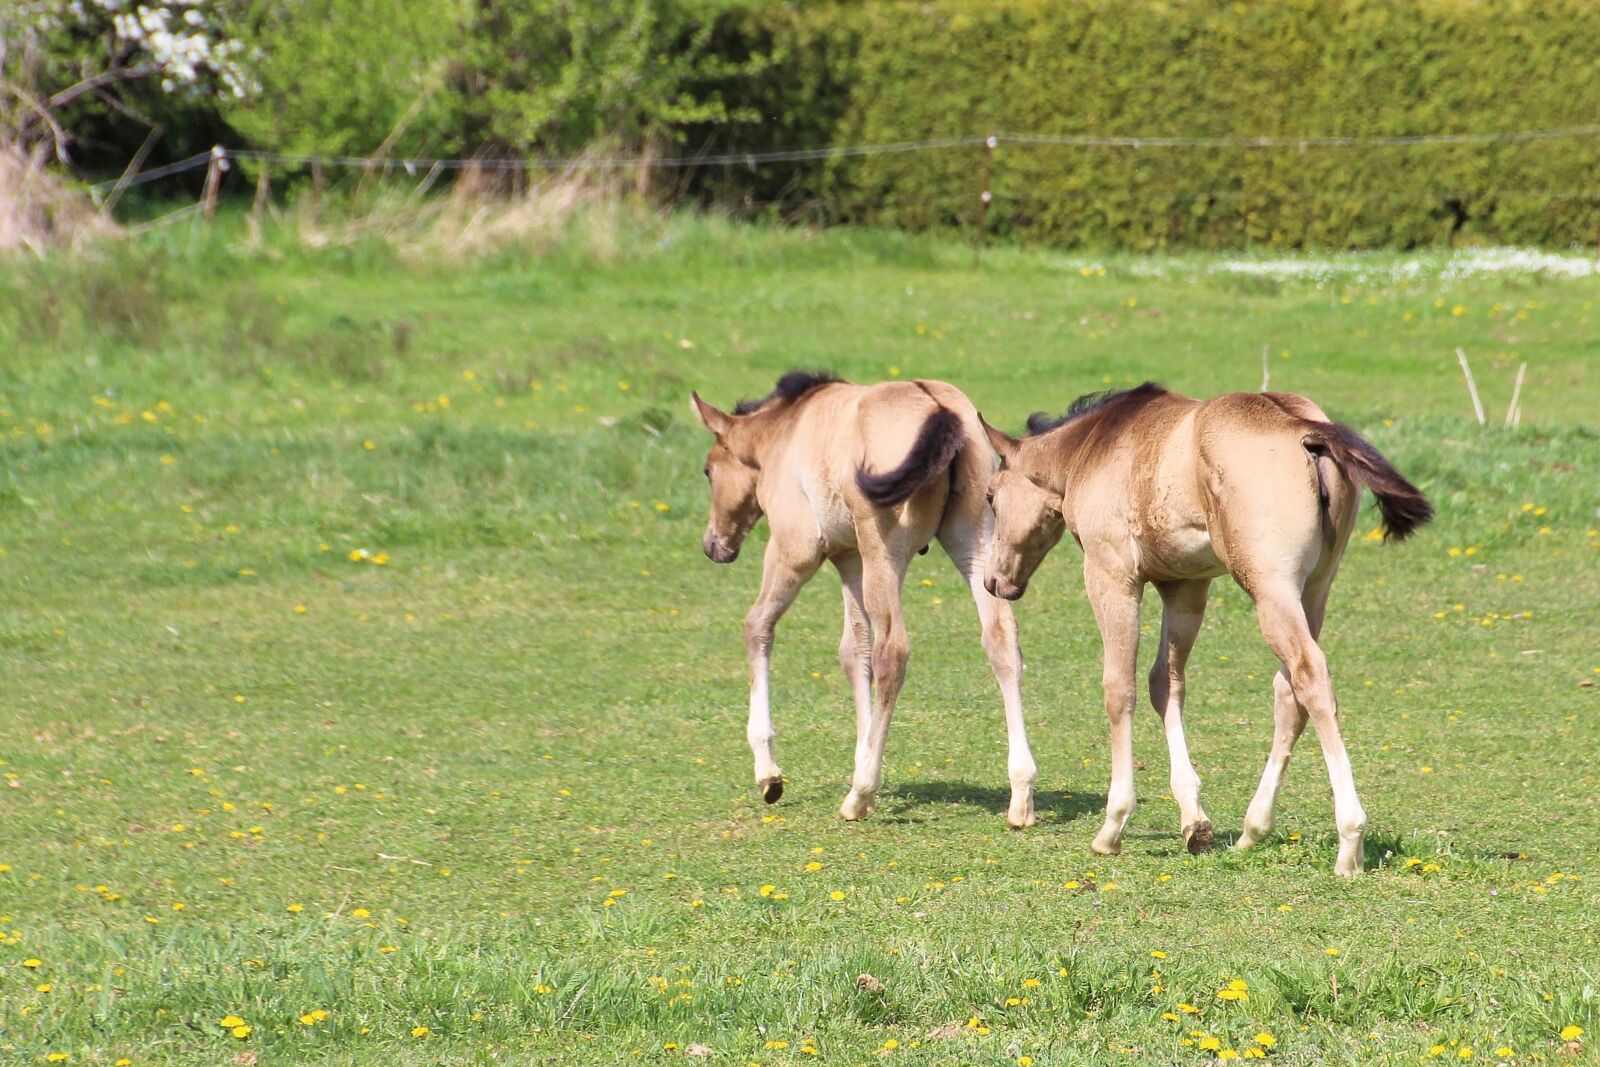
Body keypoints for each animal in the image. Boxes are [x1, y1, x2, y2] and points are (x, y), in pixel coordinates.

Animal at [691, 371, 1038, 828]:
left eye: (708, 470)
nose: (714, 545)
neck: (786, 429)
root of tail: (941, 408)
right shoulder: (849, 558)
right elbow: (854, 652)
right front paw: (864, 755)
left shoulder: (795, 549)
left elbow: (757, 626)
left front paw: (769, 773)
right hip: (975, 541)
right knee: (1000, 640)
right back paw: (1021, 795)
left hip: (884, 552)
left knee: (894, 650)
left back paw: (859, 794)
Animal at [980, 383, 1432, 876]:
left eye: (990, 496)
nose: (994, 582)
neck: (1098, 445)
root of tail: (1303, 428)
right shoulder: (1185, 587)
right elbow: (1166, 684)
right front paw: (1194, 821)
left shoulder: (1111, 576)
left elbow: (1119, 689)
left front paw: (1114, 824)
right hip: (1314, 591)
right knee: (1288, 691)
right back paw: (1254, 830)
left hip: (1270, 590)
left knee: (1309, 676)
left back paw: (1349, 841)